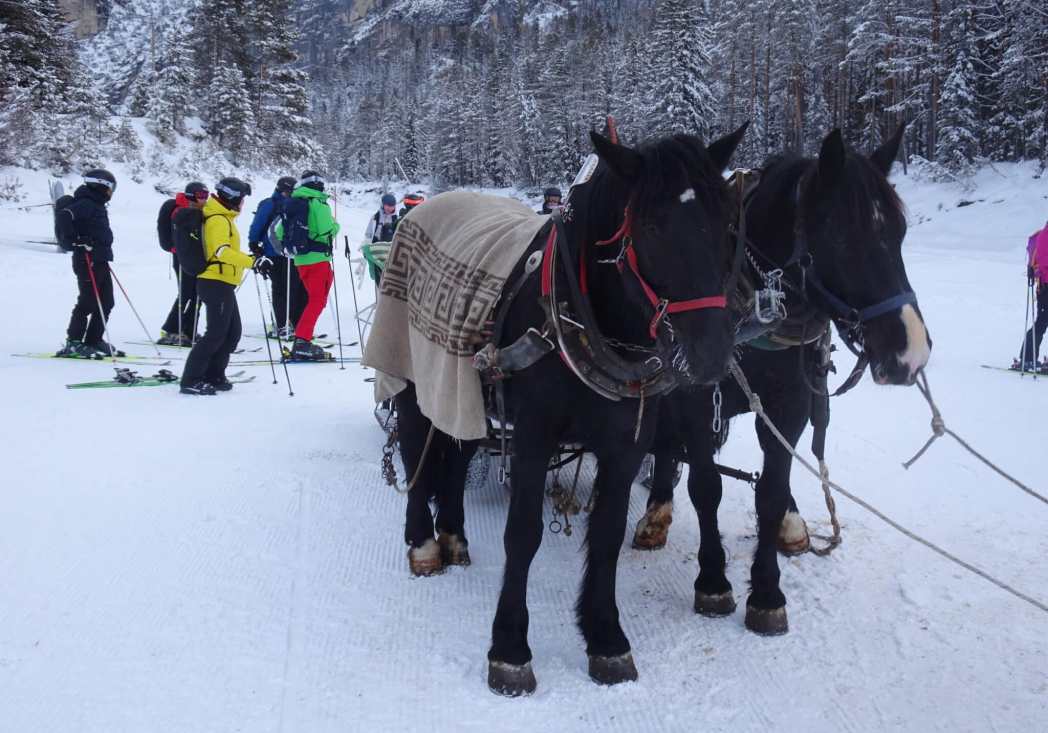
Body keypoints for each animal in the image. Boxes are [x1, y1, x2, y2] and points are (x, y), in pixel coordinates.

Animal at [391, 124, 746, 692]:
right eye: (650, 225)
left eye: (725, 221)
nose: (712, 352)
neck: (587, 322)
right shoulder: (533, 435)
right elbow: (523, 533)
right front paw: (510, 647)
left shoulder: (627, 443)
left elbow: (606, 533)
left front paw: (605, 636)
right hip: (413, 376)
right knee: (413, 448)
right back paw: (423, 541)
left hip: (469, 391)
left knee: (460, 452)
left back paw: (453, 534)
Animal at [632, 126, 930, 637]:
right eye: (841, 236)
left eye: (900, 233)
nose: (912, 352)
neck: (754, 299)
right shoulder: (695, 398)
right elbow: (705, 486)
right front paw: (713, 581)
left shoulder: (789, 403)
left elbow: (771, 489)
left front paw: (767, 591)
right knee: (667, 444)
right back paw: (657, 509)